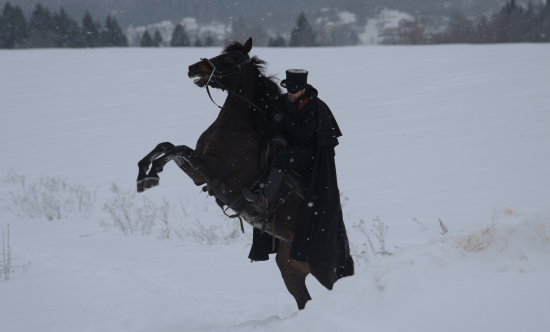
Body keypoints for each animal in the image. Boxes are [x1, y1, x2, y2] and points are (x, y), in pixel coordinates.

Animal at [137, 37, 354, 310]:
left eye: (229, 60)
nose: (194, 68)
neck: (236, 128)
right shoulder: (199, 175)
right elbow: (167, 147)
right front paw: (145, 173)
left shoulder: (216, 174)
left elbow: (179, 149)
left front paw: (151, 173)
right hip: (290, 269)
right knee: (302, 299)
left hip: (322, 270)